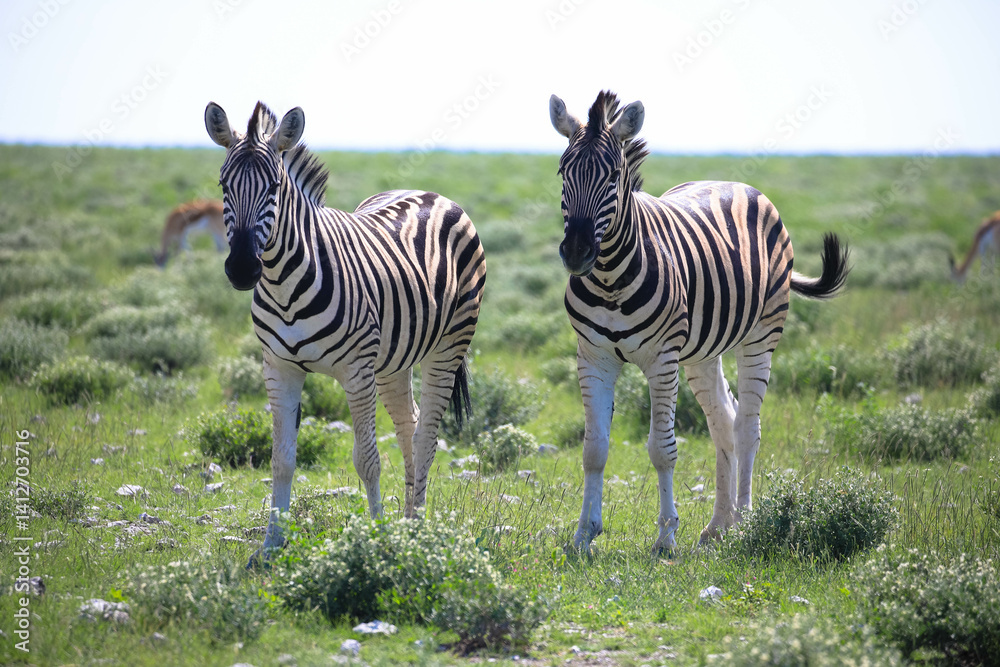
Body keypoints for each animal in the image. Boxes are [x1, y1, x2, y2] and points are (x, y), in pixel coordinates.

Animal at [204, 101, 486, 562]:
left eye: (274, 188)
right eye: (223, 185)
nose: (243, 269)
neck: (284, 283)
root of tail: (433, 194)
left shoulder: (356, 371)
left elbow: (367, 459)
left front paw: (376, 539)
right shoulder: (278, 367)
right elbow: (281, 459)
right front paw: (270, 545)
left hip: (448, 344)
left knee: (426, 436)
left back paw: (417, 528)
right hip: (393, 360)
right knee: (409, 426)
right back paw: (409, 520)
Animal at [548, 91, 849, 554]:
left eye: (613, 176)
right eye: (563, 172)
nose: (577, 252)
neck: (610, 278)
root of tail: (737, 184)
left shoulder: (661, 361)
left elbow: (662, 448)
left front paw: (665, 537)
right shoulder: (593, 358)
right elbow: (593, 449)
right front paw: (584, 534)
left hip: (760, 335)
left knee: (747, 427)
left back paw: (744, 521)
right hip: (701, 353)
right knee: (723, 422)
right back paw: (719, 525)